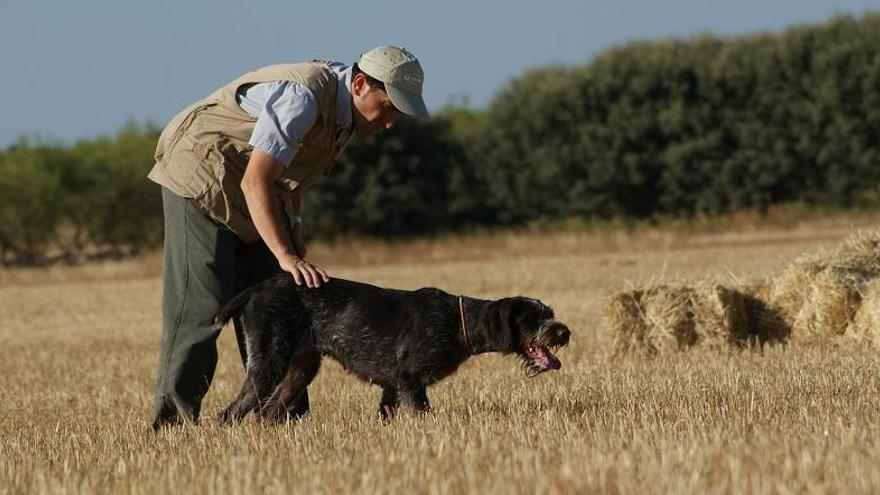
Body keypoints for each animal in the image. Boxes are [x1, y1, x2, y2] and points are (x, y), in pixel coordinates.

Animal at [213, 276, 572, 422]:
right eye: (533, 319)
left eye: (550, 313)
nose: (564, 332)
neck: (459, 323)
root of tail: (257, 288)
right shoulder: (409, 379)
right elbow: (423, 413)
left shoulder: (392, 386)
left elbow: (386, 414)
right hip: (267, 364)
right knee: (230, 413)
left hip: (299, 369)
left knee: (267, 412)